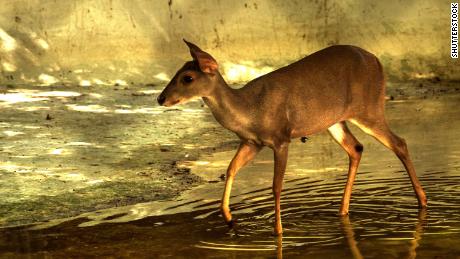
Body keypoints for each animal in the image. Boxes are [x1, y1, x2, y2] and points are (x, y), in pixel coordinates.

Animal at [158, 39, 428, 237]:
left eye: (188, 78)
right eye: (176, 72)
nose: (161, 98)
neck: (249, 110)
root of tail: (377, 61)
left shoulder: (281, 138)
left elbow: (276, 186)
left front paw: (278, 231)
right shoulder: (252, 142)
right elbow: (231, 168)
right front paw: (229, 219)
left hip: (368, 108)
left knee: (399, 143)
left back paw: (422, 202)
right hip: (335, 120)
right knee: (356, 148)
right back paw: (342, 211)